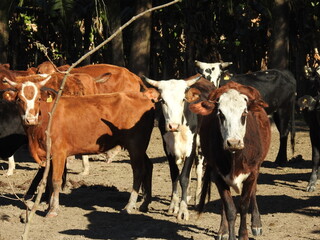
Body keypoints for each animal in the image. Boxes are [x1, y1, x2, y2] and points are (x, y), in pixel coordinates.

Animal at [2, 78, 158, 217]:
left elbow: (56, 181)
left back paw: (129, 206)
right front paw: (48, 206)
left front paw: (53, 210)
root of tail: (144, 97)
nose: (30, 119)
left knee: (138, 171)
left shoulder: (59, 153)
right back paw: (145, 203)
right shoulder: (49, 155)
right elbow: (50, 183)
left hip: (135, 144)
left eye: (38, 99)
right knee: (148, 166)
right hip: (139, 146)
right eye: (19, 99)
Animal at [143, 74, 214, 220]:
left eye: (182, 100)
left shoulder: (191, 147)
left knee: (198, 170)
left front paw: (183, 210)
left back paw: (197, 199)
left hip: (201, 147)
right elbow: (175, 175)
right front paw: (174, 205)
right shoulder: (167, 148)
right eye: (163, 101)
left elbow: (184, 178)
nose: (173, 126)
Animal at [189, 81, 272, 240]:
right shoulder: (218, 175)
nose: (233, 142)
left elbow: (244, 205)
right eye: (220, 114)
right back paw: (223, 230)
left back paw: (256, 224)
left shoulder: (252, 172)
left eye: (244, 113)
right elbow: (230, 209)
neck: (235, 158)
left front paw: (244, 234)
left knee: (253, 193)